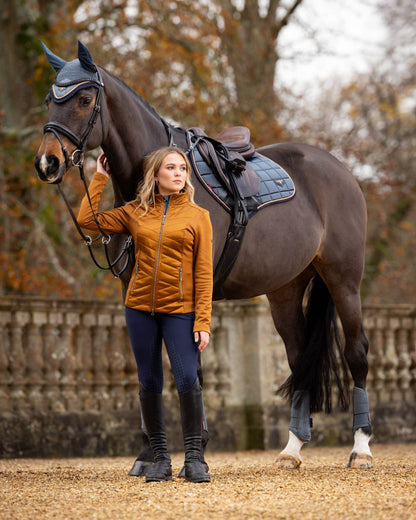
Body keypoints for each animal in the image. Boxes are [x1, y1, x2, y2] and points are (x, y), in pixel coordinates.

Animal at [35, 42, 374, 470]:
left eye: (83, 99)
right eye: (50, 100)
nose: (47, 163)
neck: (155, 193)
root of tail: (340, 170)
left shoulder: (193, 291)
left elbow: (190, 367)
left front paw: (196, 451)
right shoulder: (135, 291)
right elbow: (151, 368)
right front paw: (149, 454)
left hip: (343, 279)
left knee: (356, 353)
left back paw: (361, 449)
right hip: (285, 289)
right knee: (299, 360)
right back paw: (291, 450)